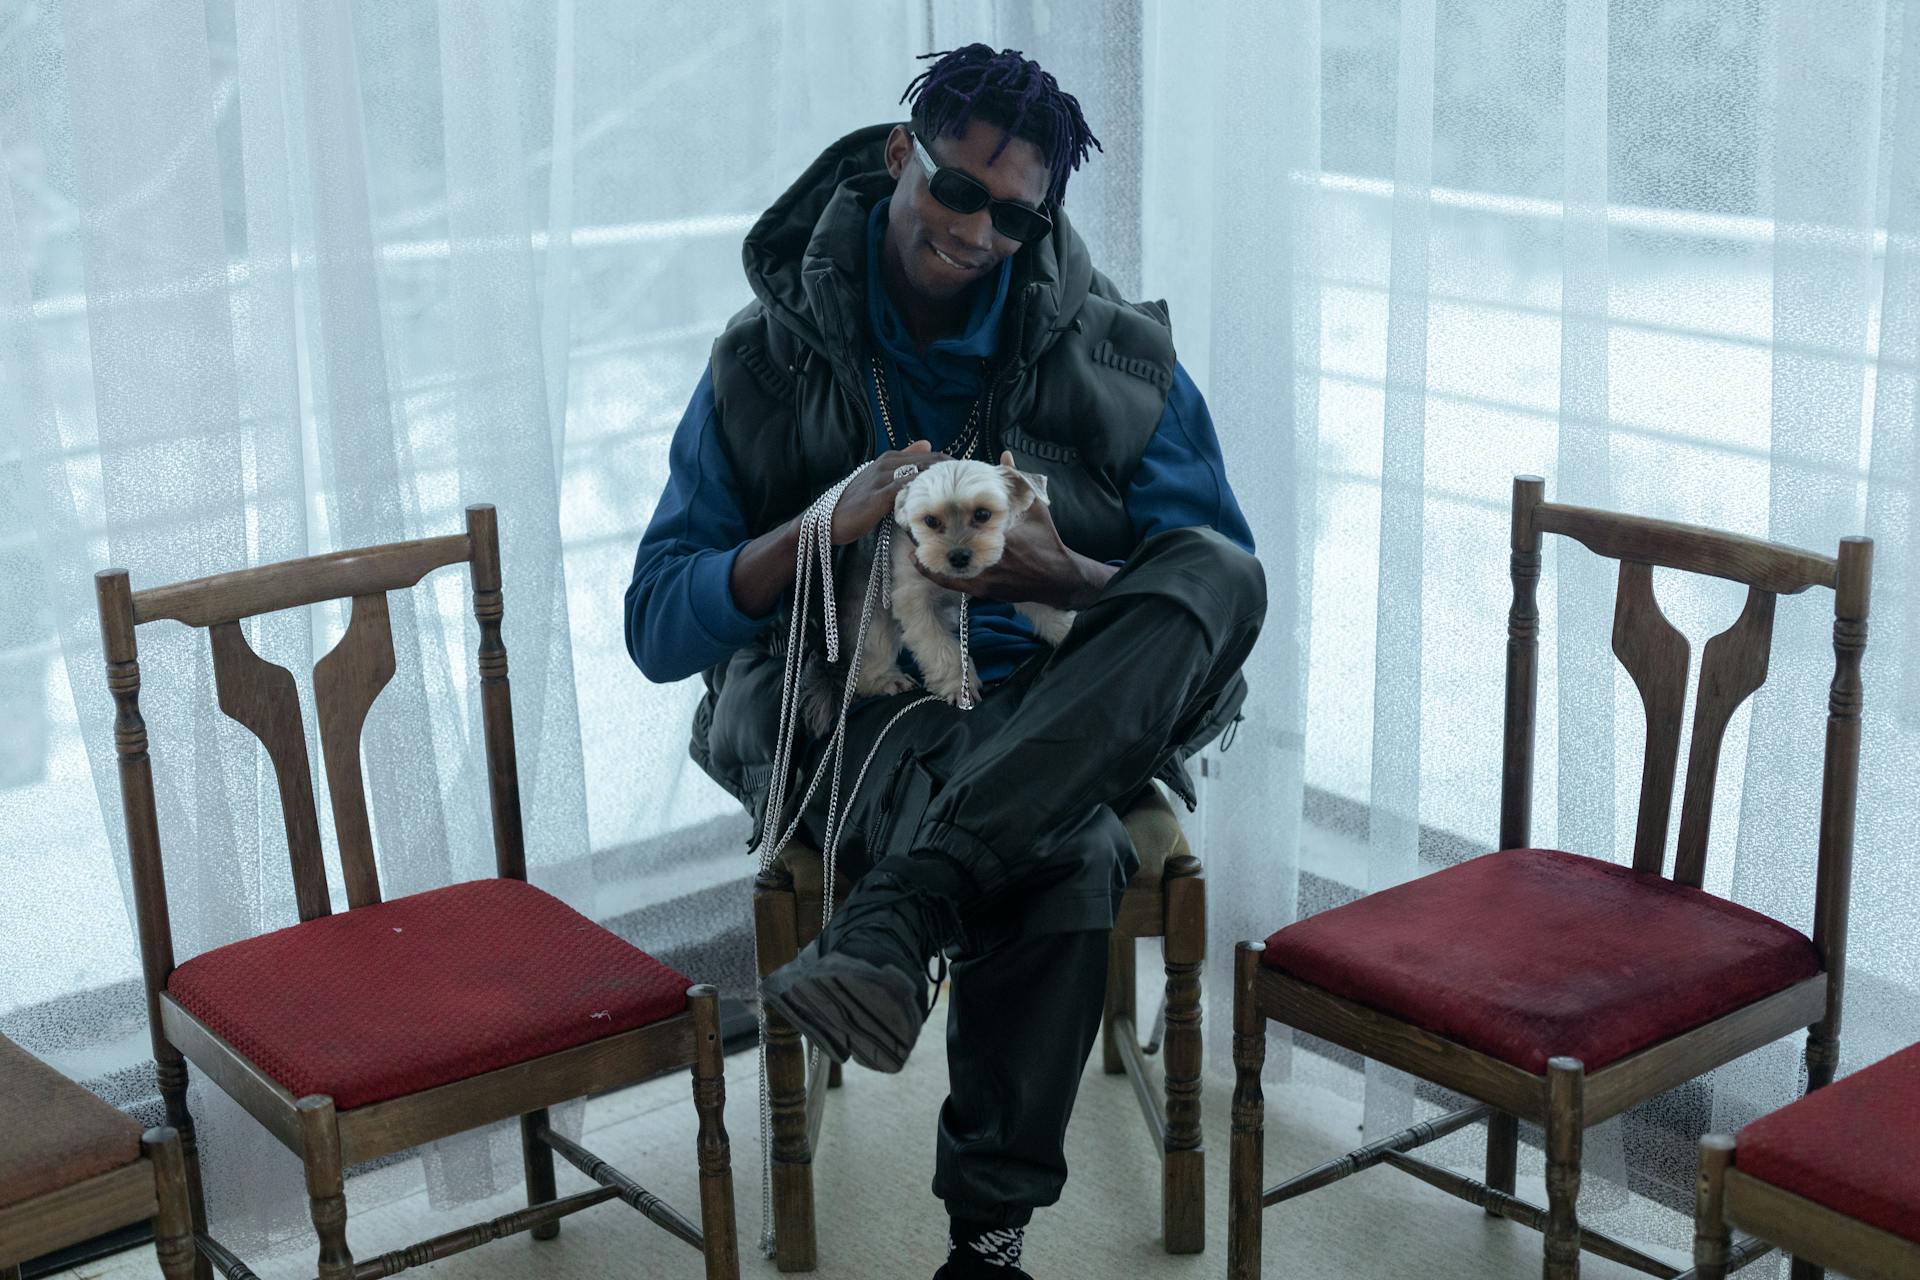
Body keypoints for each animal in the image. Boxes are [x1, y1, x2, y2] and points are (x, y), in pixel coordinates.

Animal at [802, 466, 1075, 736]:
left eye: (983, 514)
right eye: (931, 521)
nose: (958, 556)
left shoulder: (1015, 576)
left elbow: (1044, 606)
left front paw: (1068, 630)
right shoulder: (914, 598)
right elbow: (939, 646)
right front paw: (959, 686)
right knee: (870, 651)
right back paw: (885, 679)